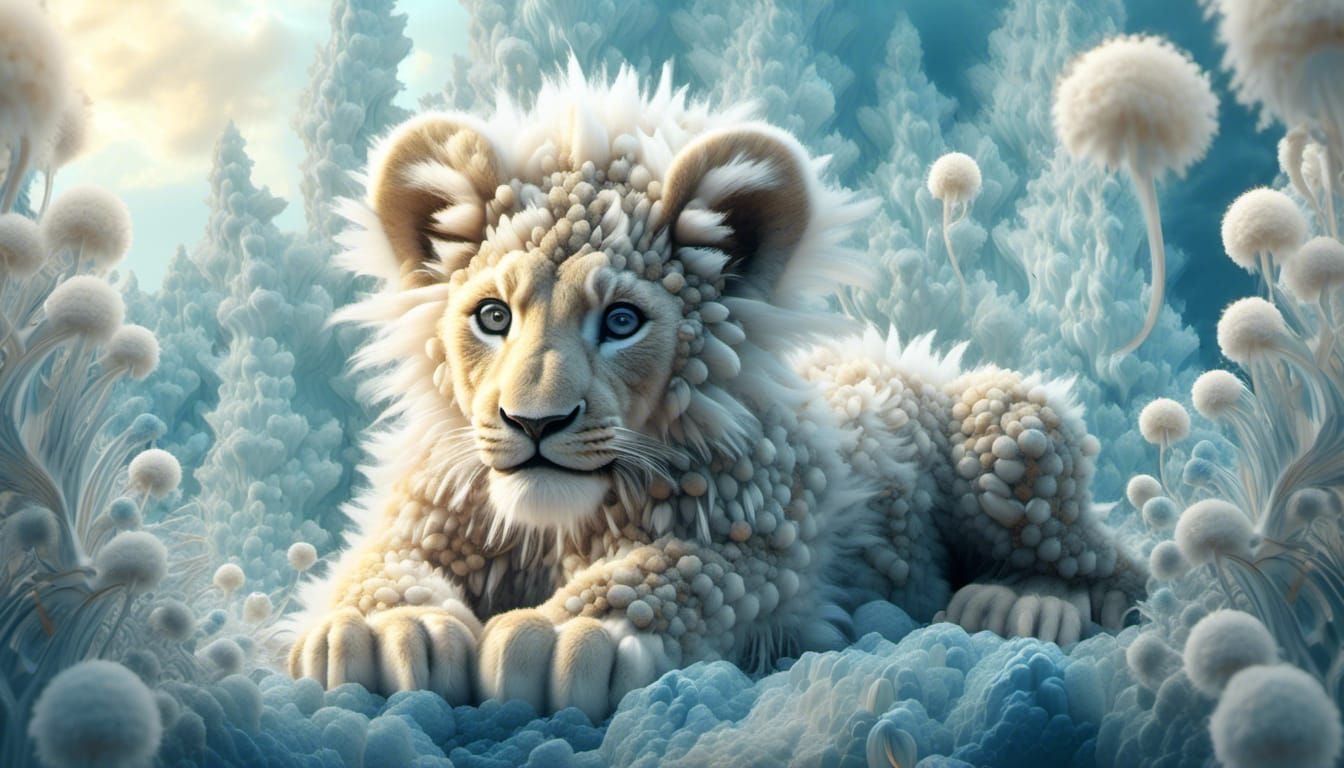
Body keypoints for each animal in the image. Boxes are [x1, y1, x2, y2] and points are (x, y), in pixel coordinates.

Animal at [289, 64, 1144, 721]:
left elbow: (679, 571)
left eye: (622, 320)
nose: (534, 422)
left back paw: (1017, 606)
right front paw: (384, 633)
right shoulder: (434, 509)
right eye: (493, 316)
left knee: (1114, 568)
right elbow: (378, 562)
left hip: (1006, 433)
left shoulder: (768, 539)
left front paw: (565, 638)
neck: (555, 528)